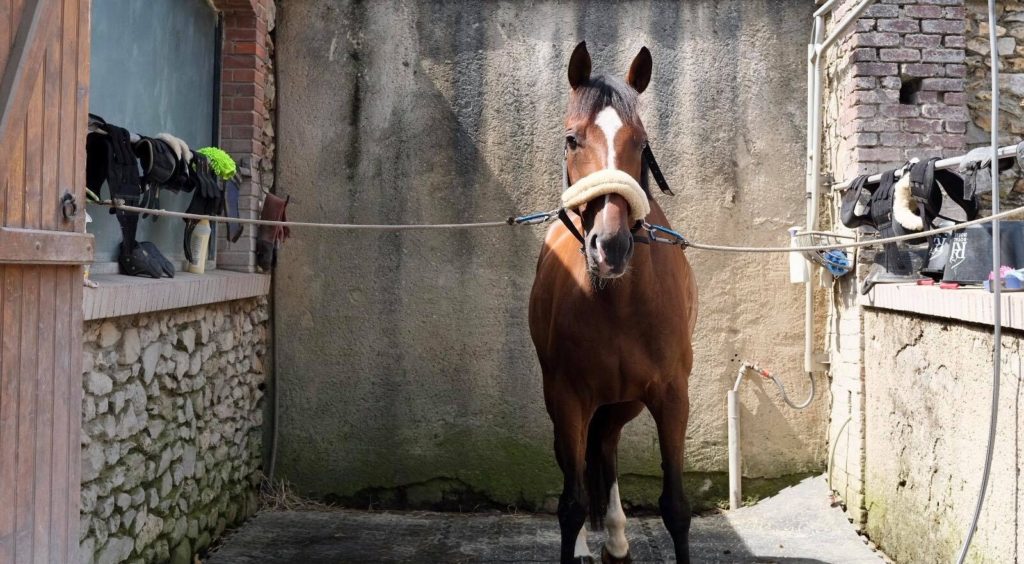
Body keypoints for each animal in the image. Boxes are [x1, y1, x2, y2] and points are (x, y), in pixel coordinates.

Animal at [528, 42, 696, 564]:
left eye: (641, 143)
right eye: (571, 140)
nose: (611, 247)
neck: (619, 305)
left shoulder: (671, 395)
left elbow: (676, 506)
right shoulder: (566, 397)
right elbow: (571, 503)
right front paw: (579, 538)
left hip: (625, 401)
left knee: (606, 445)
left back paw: (618, 539)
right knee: (581, 462)